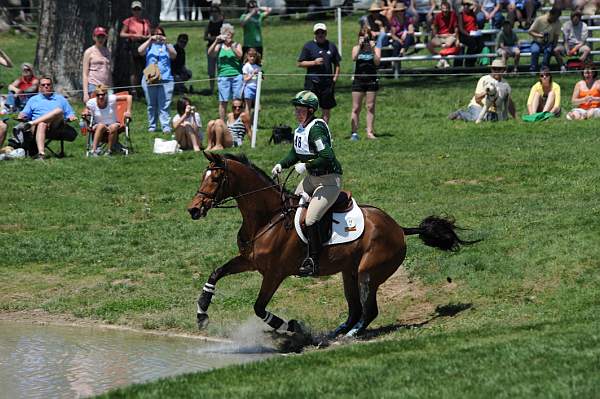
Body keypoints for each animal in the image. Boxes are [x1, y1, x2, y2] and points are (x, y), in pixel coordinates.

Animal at [185, 152, 476, 340]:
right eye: (202, 176)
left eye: (215, 179)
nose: (193, 210)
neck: (266, 217)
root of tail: (399, 228)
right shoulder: (249, 261)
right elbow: (215, 274)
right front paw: (201, 314)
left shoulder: (275, 273)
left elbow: (259, 307)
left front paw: (293, 326)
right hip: (348, 273)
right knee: (355, 309)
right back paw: (337, 332)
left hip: (367, 273)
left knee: (369, 310)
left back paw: (351, 334)